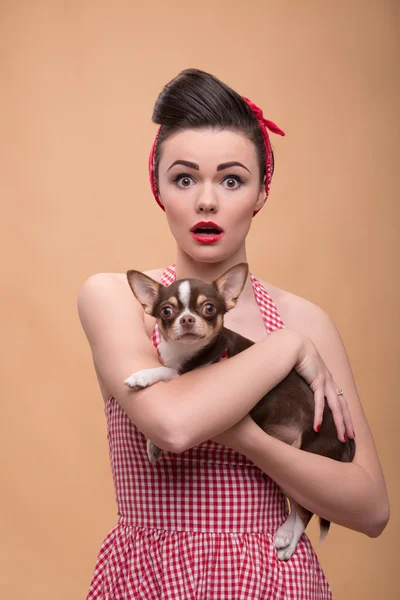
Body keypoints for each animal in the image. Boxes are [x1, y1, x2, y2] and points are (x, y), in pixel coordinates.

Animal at [123, 262, 354, 556]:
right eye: (166, 311)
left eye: (209, 308)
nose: (186, 319)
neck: (184, 353)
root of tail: (344, 443)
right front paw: (154, 445)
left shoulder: (200, 375)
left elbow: (166, 372)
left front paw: (142, 376)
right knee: (298, 502)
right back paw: (284, 534)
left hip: (304, 457)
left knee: (306, 510)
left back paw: (289, 543)